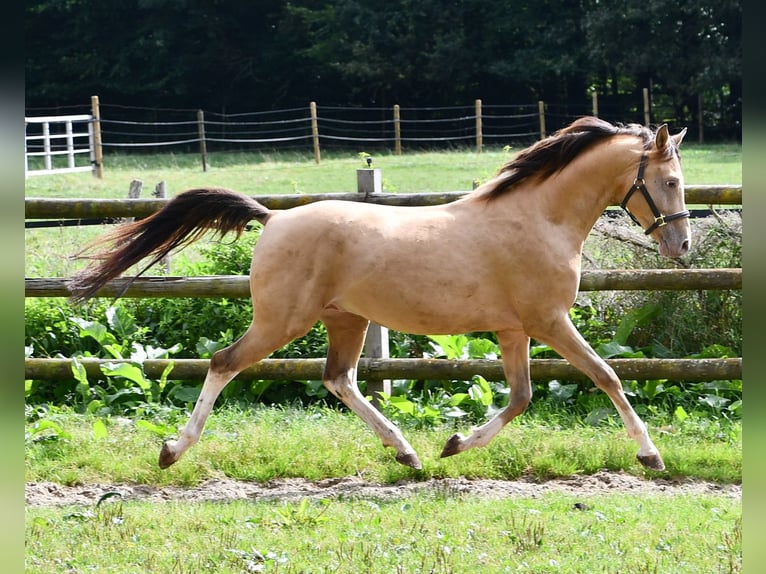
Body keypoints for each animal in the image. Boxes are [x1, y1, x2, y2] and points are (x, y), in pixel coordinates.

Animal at [69, 116, 692, 472]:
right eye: (671, 181)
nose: (682, 245)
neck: (539, 217)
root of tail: (273, 218)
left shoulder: (514, 328)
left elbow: (520, 398)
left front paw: (454, 444)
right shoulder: (548, 321)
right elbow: (607, 377)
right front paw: (651, 454)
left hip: (346, 320)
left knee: (338, 379)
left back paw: (408, 452)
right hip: (281, 321)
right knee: (224, 363)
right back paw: (172, 450)